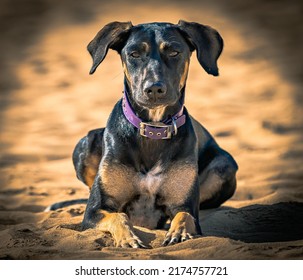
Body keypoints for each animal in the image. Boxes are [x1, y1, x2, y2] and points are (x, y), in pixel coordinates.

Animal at [61, 20, 239, 248]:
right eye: (134, 54)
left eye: (174, 52)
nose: (154, 89)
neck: (154, 130)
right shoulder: (95, 211)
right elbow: (118, 216)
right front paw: (128, 239)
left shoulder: (185, 205)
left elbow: (185, 216)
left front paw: (178, 233)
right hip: (86, 142)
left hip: (225, 165)